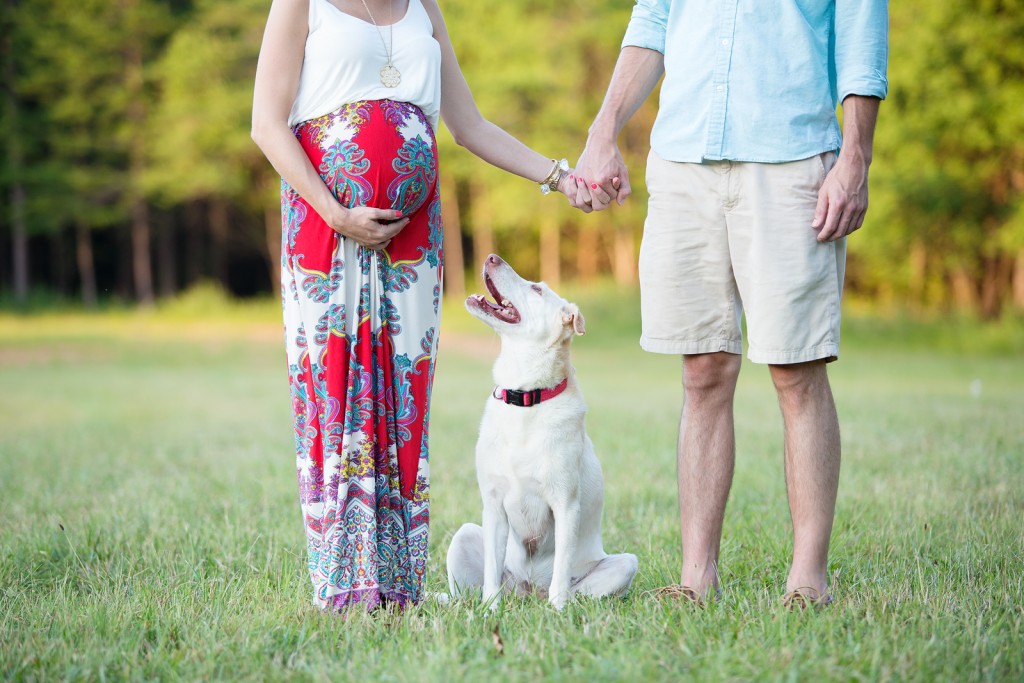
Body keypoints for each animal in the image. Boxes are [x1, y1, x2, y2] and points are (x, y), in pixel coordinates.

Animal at [448, 254, 638, 610]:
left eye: (536, 289)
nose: (492, 256)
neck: (525, 398)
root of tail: (528, 590)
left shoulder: (565, 504)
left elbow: (561, 571)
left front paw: (558, 612)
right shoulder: (493, 505)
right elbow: (491, 576)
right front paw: (490, 612)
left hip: (624, 565)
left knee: (575, 590)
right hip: (464, 536)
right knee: (468, 592)